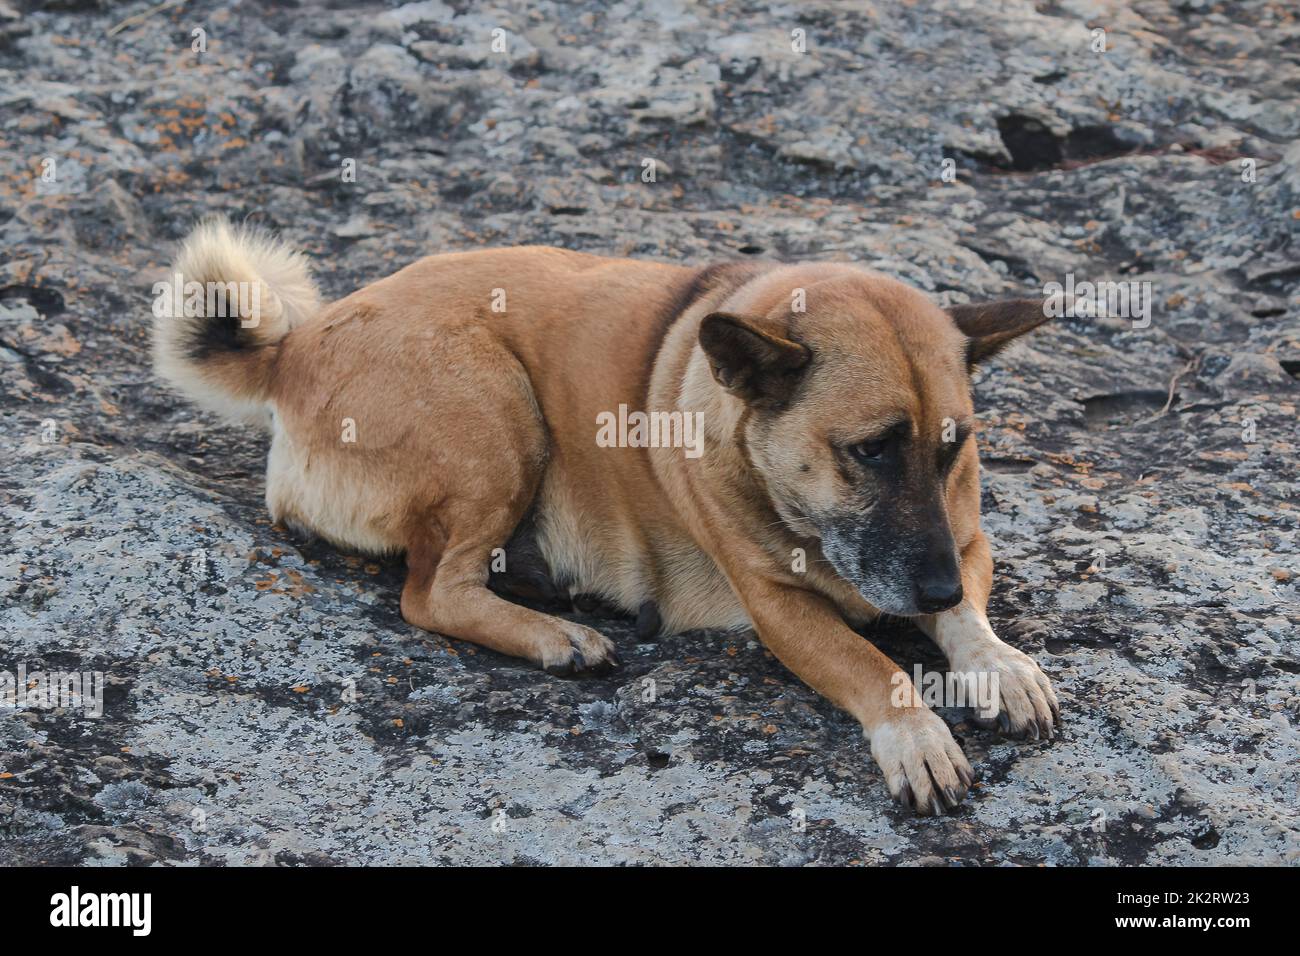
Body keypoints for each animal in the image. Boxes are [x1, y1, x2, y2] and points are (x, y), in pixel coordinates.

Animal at [157, 218, 1060, 816]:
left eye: (952, 448)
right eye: (870, 451)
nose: (934, 591)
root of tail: (293, 349)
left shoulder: (967, 543)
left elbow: (974, 619)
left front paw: (1001, 664)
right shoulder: (780, 608)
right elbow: (870, 664)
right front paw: (916, 733)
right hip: (498, 417)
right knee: (431, 593)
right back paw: (555, 636)